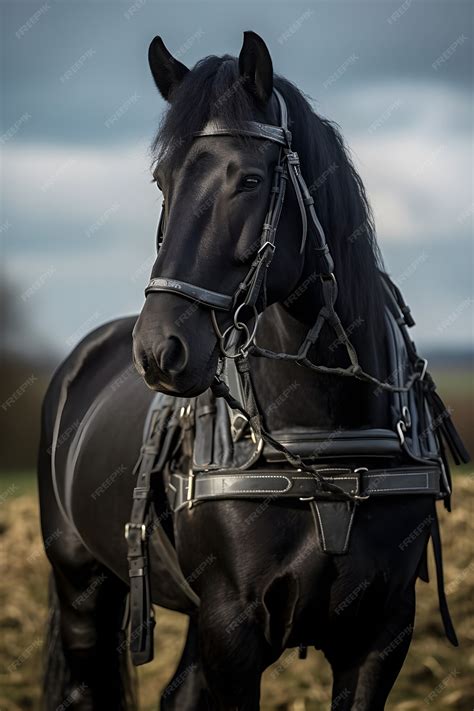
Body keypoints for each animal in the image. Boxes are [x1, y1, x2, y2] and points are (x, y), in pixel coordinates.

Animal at [39, 32, 462, 711]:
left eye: (252, 179)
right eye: (163, 180)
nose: (159, 349)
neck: (324, 442)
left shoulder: (382, 633)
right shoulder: (232, 628)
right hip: (81, 588)